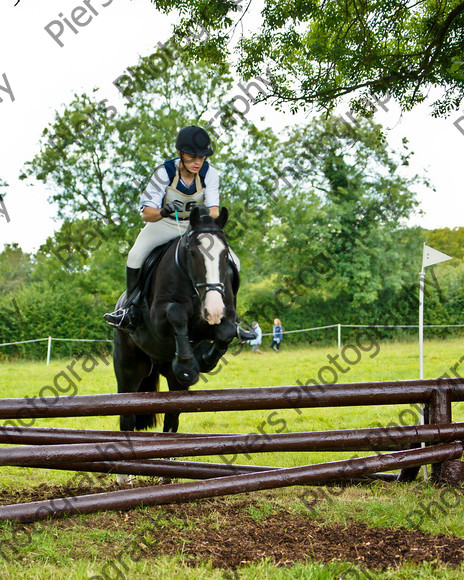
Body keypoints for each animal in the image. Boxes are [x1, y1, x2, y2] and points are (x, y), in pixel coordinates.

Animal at [112, 206, 250, 438]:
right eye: (193, 253)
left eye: (224, 254)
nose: (213, 310)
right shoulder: (159, 316)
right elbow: (177, 314)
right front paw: (187, 366)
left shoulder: (224, 315)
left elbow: (226, 332)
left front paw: (203, 360)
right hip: (129, 368)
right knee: (127, 416)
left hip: (171, 379)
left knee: (172, 418)